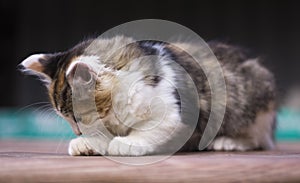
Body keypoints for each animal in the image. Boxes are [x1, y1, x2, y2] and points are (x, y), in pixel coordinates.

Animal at [18, 35, 276, 156]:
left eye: (78, 117)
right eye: (66, 118)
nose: (78, 132)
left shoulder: (172, 114)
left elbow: (151, 130)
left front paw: (125, 143)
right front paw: (88, 143)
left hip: (252, 100)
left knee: (260, 138)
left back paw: (229, 141)